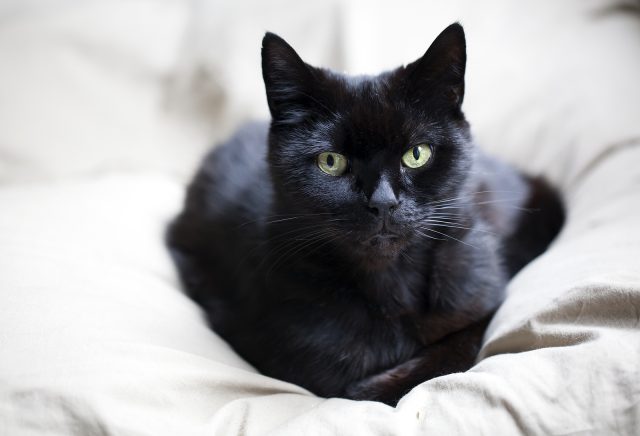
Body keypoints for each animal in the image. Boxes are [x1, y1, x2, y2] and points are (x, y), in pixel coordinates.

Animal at [168, 23, 564, 406]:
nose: (383, 202)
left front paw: (376, 384)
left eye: (417, 154)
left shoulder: (481, 299)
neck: (390, 285)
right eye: (330, 161)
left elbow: (455, 348)